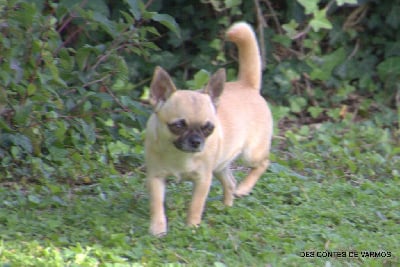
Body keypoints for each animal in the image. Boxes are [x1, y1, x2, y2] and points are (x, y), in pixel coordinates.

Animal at [144, 21, 272, 237]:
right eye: (178, 125)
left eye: (208, 128)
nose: (196, 141)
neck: (179, 155)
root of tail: (247, 85)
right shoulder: (156, 177)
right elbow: (156, 204)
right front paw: (158, 227)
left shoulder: (203, 180)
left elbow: (196, 205)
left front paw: (192, 226)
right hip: (220, 166)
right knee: (230, 182)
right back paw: (227, 205)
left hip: (250, 154)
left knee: (263, 163)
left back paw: (244, 188)